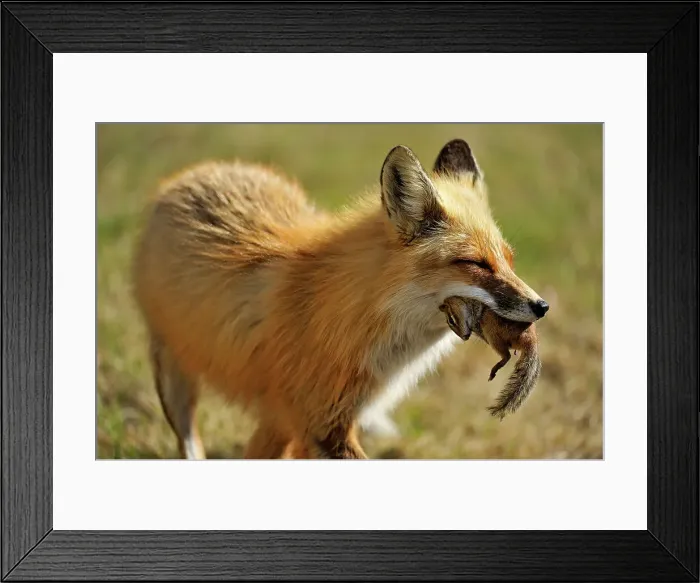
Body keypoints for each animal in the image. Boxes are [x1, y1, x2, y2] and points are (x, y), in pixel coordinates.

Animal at [132, 138, 549, 459]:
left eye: (509, 260)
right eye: (475, 263)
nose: (542, 307)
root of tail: (195, 171)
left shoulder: (303, 421)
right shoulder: (320, 426)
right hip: (172, 375)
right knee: (188, 439)